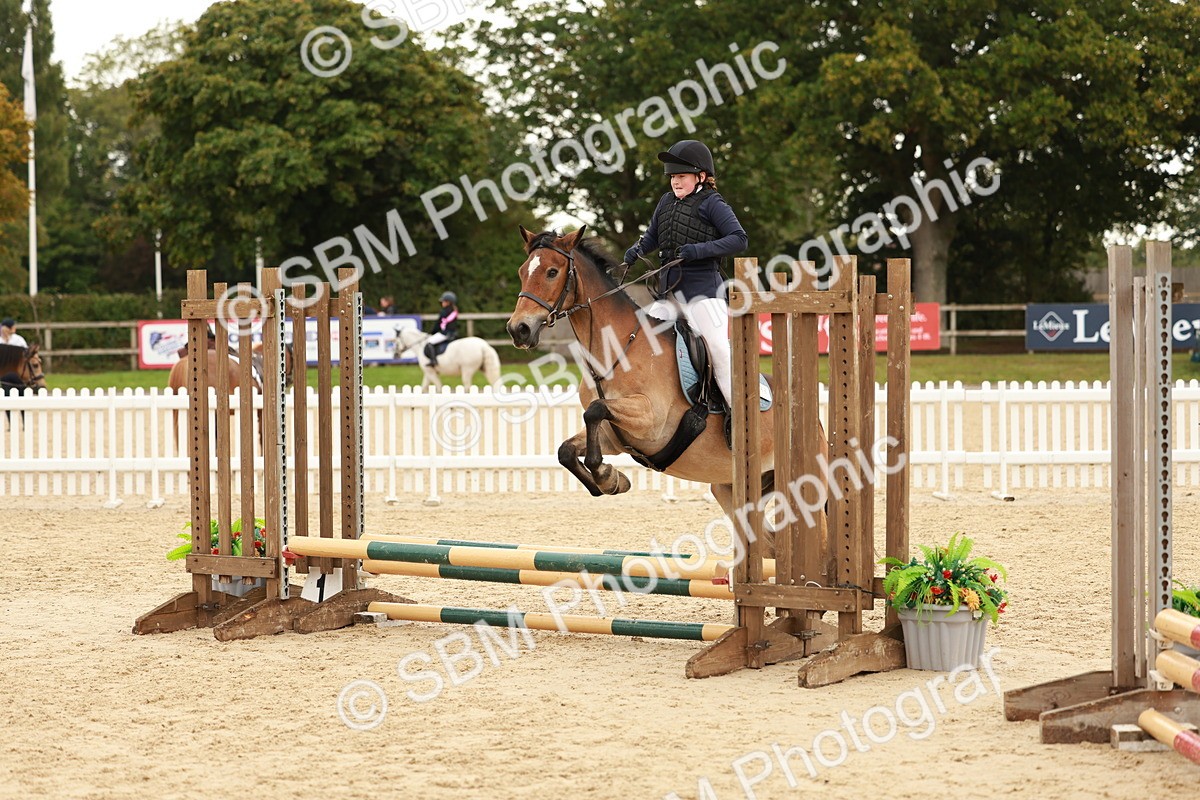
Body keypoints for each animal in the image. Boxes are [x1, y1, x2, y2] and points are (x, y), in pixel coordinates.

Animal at [505, 227, 829, 552]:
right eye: (521, 271)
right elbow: (567, 450)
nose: (518, 329)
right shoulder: (614, 438)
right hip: (731, 488)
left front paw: (606, 475)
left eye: (552, 272)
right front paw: (613, 480)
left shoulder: (651, 420)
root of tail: (815, 422)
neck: (617, 347)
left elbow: (595, 411)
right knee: (768, 543)